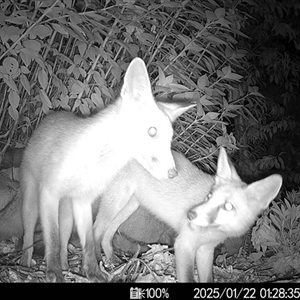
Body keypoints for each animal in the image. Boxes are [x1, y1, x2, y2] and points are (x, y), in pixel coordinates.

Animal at [19, 57, 192, 282]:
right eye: (152, 131)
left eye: (170, 139)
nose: (173, 173)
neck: (97, 164)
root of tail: (50, 116)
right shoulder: (49, 193)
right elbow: (53, 240)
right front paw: (54, 273)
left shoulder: (83, 201)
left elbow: (89, 242)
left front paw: (92, 272)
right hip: (31, 201)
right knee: (29, 235)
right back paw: (25, 263)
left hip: (67, 213)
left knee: (65, 239)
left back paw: (66, 266)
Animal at [92, 148, 282, 282]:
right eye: (209, 196)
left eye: (228, 206)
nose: (190, 215)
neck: (213, 232)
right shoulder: (183, 245)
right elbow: (188, 278)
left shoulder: (206, 250)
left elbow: (208, 279)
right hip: (115, 203)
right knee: (96, 230)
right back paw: (96, 266)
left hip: (129, 206)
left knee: (107, 234)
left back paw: (112, 261)